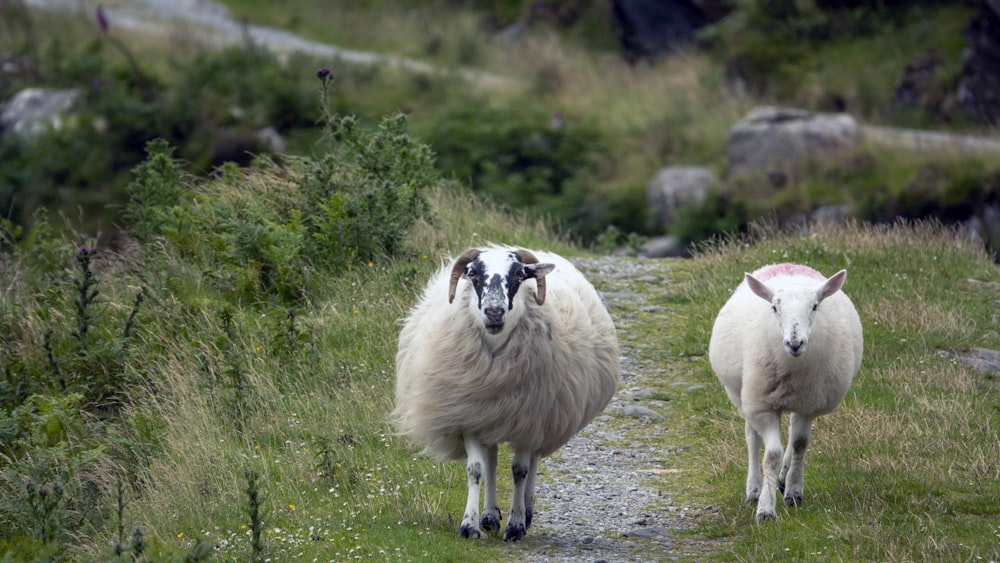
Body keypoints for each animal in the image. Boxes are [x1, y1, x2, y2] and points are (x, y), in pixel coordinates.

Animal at [390, 247, 616, 540]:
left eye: (520, 275)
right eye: (473, 273)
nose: (494, 312)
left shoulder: (530, 420)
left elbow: (520, 471)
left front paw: (516, 525)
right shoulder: (471, 416)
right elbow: (476, 470)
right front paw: (470, 525)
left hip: (542, 419)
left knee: (533, 461)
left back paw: (526, 512)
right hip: (493, 416)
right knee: (492, 463)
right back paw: (489, 515)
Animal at [708, 262, 864, 524]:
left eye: (815, 306)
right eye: (774, 307)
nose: (795, 343)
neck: (793, 368)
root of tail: (787, 265)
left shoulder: (809, 404)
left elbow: (800, 444)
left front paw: (793, 492)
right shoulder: (762, 406)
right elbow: (771, 454)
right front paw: (765, 508)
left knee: (791, 435)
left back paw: (782, 479)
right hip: (742, 394)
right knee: (751, 436)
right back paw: (754, 488)